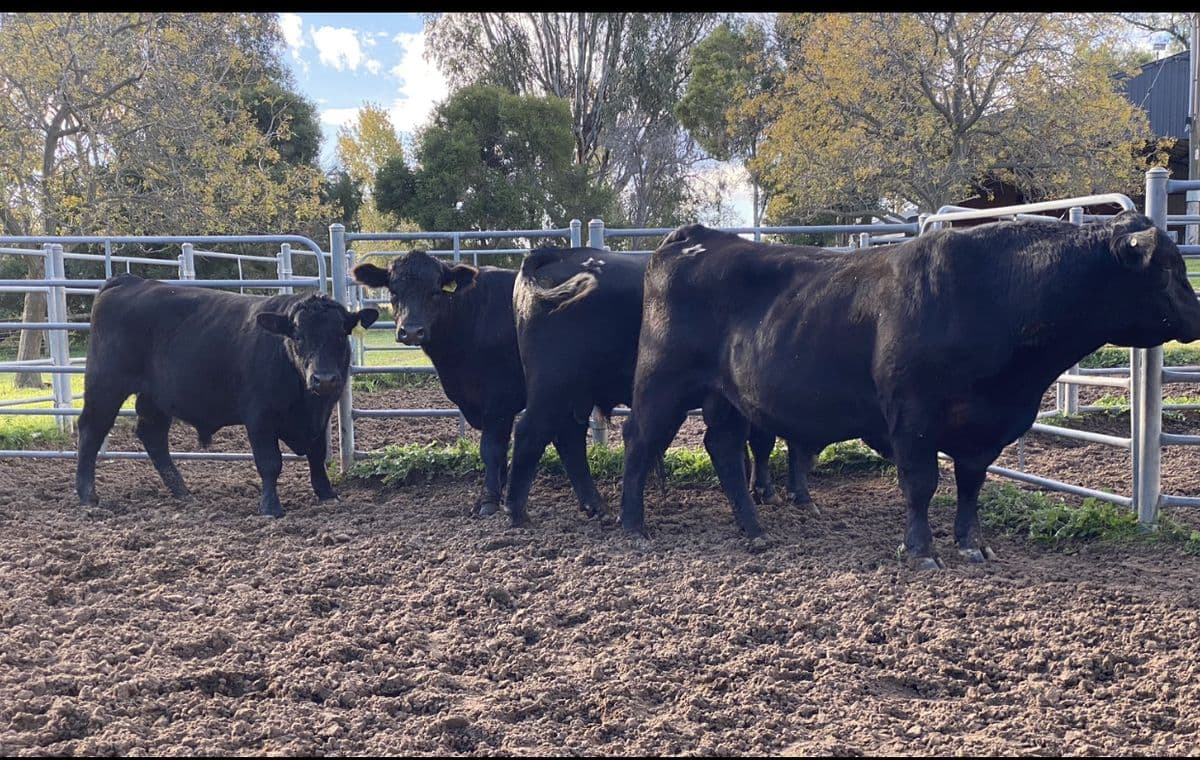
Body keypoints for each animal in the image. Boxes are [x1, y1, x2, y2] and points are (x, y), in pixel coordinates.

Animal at [75, 274, 378, 516]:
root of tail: (129, 280)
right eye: (298, 336)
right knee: (91, 430)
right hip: (105, 385)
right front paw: (270, 506)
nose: (324, 378)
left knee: (152, 436)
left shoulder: (321, 414)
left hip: (156, 398)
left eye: (340, 335)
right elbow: (270, 462)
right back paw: (87, 495)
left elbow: (317, 453)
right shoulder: (259, 417)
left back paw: (182, 491)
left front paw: (327, 494)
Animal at [506, 246, 805, 527]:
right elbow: (770, 442)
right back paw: (516, 511)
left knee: (568, 438)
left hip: (575, 394)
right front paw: (778, 493)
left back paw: (596, 506)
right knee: (530, 433)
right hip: (553, 385)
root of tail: (559, 253)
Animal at [618, 212, 1200, 567]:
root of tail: (694, 236)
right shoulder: (913, 414)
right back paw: (632, 526)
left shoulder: (982, 428)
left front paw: (972, 545)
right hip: (661, 382)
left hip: (726, 395)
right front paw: (922, 550)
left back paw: (754, 529)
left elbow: (970, 485)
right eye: (1171, 268)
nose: (1197, 314)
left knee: (721, 448)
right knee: (640, 441)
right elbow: (922, 483)